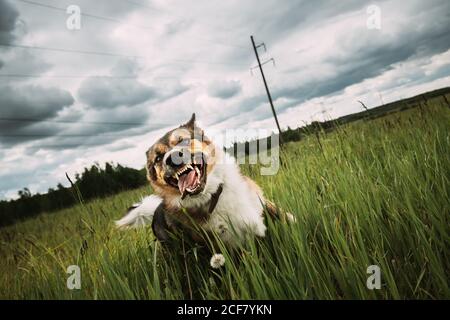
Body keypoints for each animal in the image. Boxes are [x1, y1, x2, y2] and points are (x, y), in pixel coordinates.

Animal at [116, 114, 292, 246]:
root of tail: (156, 211)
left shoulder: (261, 203)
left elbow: (286, 216)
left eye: (183, 140)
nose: (172, 159)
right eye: (158, 158)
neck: (214, 194)